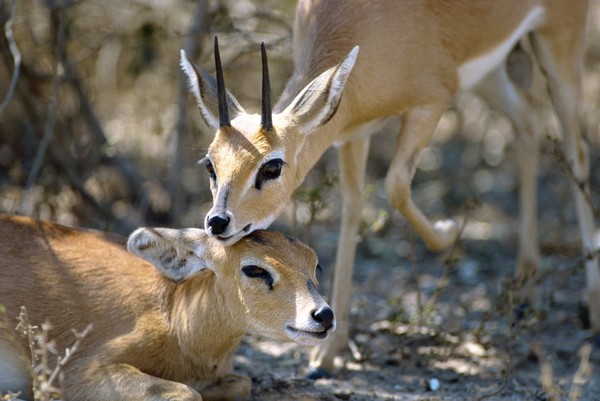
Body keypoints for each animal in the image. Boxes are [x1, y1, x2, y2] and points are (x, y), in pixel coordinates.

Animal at [0, 214, 336, 400]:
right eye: (254, 269)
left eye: (315, 265)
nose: (323, 315)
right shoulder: (74, 375)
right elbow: (188, 393)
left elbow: (241, 383)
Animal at [180, 0, 596, 376]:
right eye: (210, 164)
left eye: (272, 165)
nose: (218, 221)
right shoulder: (351, 132)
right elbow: (351, 211)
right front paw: (326, 356)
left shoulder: (433, 101)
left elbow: (396, 186)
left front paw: (449, 231)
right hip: (491, 71)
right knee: (527, 121)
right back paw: (525, 285)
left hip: (559, 45)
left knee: (576, 152)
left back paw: (590, 308)